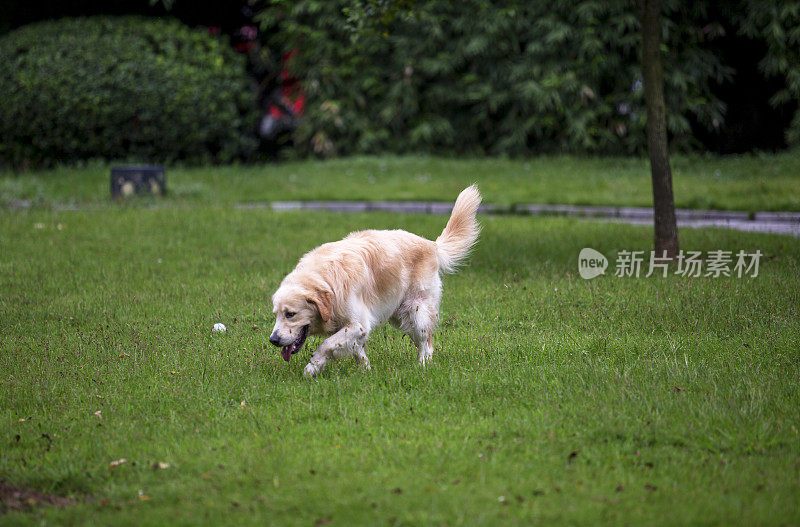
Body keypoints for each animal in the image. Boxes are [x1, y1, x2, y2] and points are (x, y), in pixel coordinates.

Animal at [268, 185, 482, 376]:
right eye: (276, 315)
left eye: (290, 314)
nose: (273, 340)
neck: (329, 281)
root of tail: (431, 244)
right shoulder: (357, 328)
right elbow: (357, 351)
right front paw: (365, 372)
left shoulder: (358, 323)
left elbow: (327, 344)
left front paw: (313, 366)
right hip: (401, 317)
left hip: (417, 311)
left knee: (426, 343)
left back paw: (423, 366)